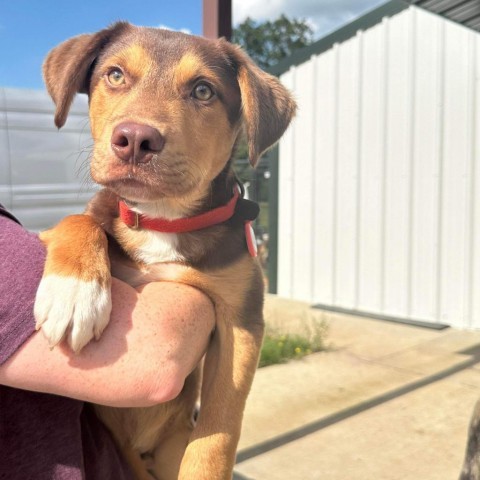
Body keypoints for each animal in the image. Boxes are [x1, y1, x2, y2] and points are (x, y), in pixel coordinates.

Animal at [33, 21, 294, 480]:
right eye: (115, 75)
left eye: (203, 91)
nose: (135, 139)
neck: (162, 219)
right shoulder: (77, 219)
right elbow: (79, 220)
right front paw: (74, 293)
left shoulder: (241, 321)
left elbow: (219, 429)